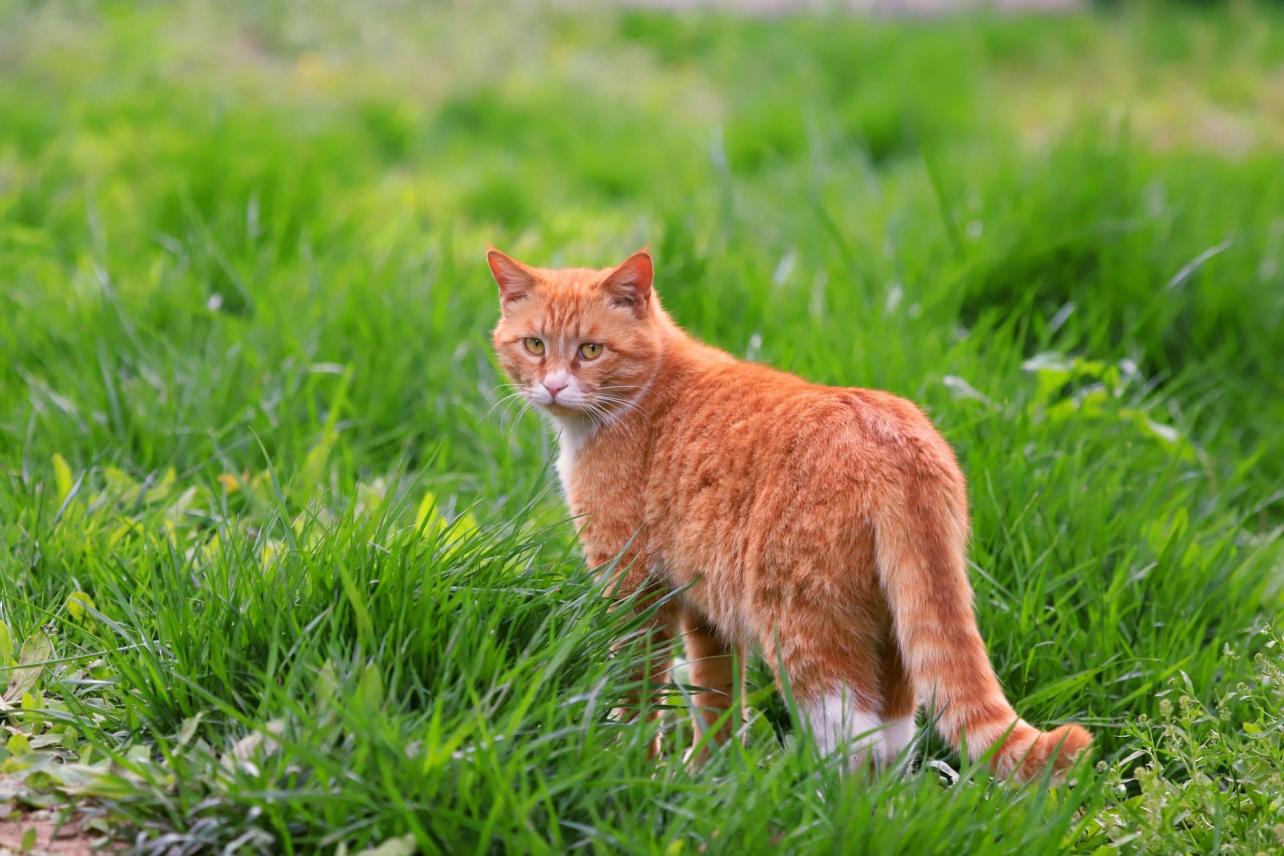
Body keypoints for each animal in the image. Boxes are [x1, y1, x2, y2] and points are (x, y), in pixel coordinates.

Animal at [485, 243, 1088, 780]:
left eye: (590, 350)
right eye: (534, 345)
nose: (554, 385)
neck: (641, 396)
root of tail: (891, 436)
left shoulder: (633, 586)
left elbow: (636, 691)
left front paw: (630, 766)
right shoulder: (705, 608)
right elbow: (716, 697)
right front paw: (706, 776)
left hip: (802, 626)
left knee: (852, 739)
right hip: (890, 627)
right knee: (894, 735)